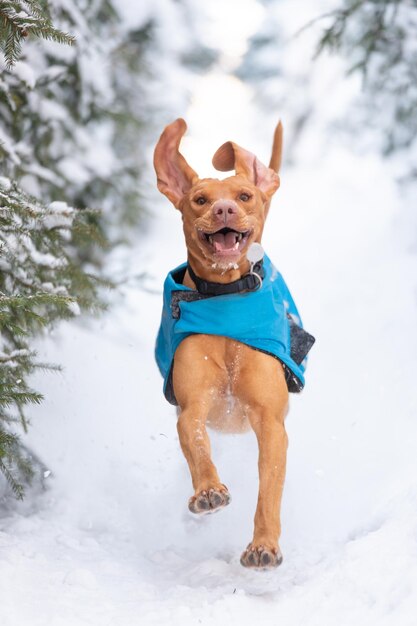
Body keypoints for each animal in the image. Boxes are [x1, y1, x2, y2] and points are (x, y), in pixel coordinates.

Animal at [153, 119, 312, 568]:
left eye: (244, 195)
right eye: (199, 200)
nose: (223, 210)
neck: (226, 297)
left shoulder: (270, 424)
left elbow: (268, 491)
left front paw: (263, 544)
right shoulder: (194, 406)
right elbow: (196, 444)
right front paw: (208, 490)